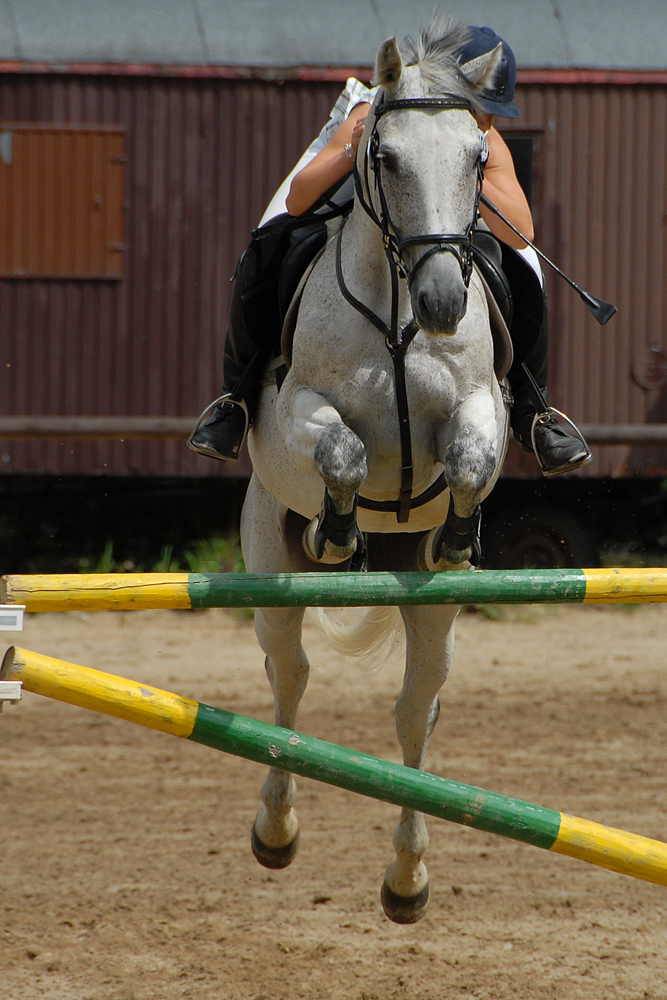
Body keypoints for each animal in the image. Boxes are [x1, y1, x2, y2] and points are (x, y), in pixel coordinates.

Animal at [243, 23, 516, 924]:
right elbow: (344, 452)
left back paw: (407, 879)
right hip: (265, 555)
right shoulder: (296, 414)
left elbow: (470, 457)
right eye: (386, 157)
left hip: (432, 614)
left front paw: (459, 532)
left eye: (477, 157)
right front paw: (337, 530)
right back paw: (276, 832)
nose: (443, 305)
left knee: (412, 712)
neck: (397, 314)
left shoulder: (482, 407)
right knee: (288, 678)